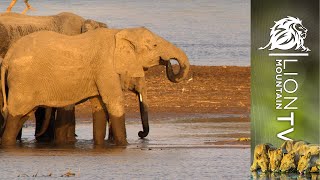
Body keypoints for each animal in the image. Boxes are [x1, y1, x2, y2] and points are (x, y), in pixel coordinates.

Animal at [0, 27, 190, 146]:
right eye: (155, 45)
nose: (139, 134)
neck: (120, 33)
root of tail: (8, 56)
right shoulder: (105, 67)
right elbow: (114, 103)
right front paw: (124, 146)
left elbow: (99, 107)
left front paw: (99, 146)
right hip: (23, 80)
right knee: (15, 116)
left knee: (21, 116)